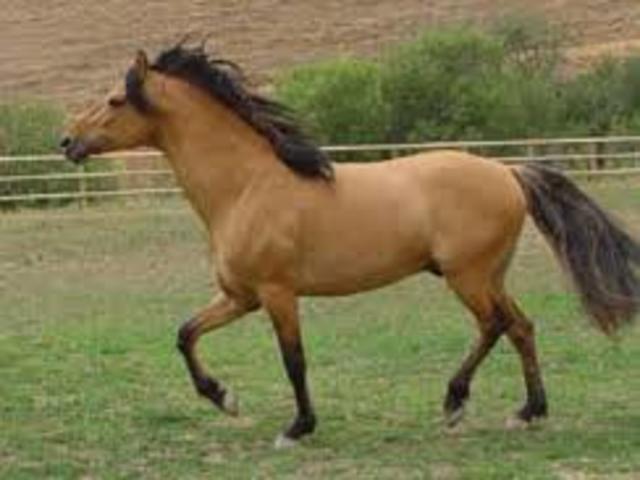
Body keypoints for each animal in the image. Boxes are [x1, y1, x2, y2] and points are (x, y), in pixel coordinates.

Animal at [61, 43, 640, 448]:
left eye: (114, 99)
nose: (66, 141)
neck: (246, 186)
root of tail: (507, 170)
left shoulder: (277, 293)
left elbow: (294, 360)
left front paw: (296, 427)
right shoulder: (240, 296)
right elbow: (185, 334)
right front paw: (225, 399)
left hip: (468, 276)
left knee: (496, 325)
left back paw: (456, 403)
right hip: (488, 275)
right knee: (520, 326)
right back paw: (526, 412)